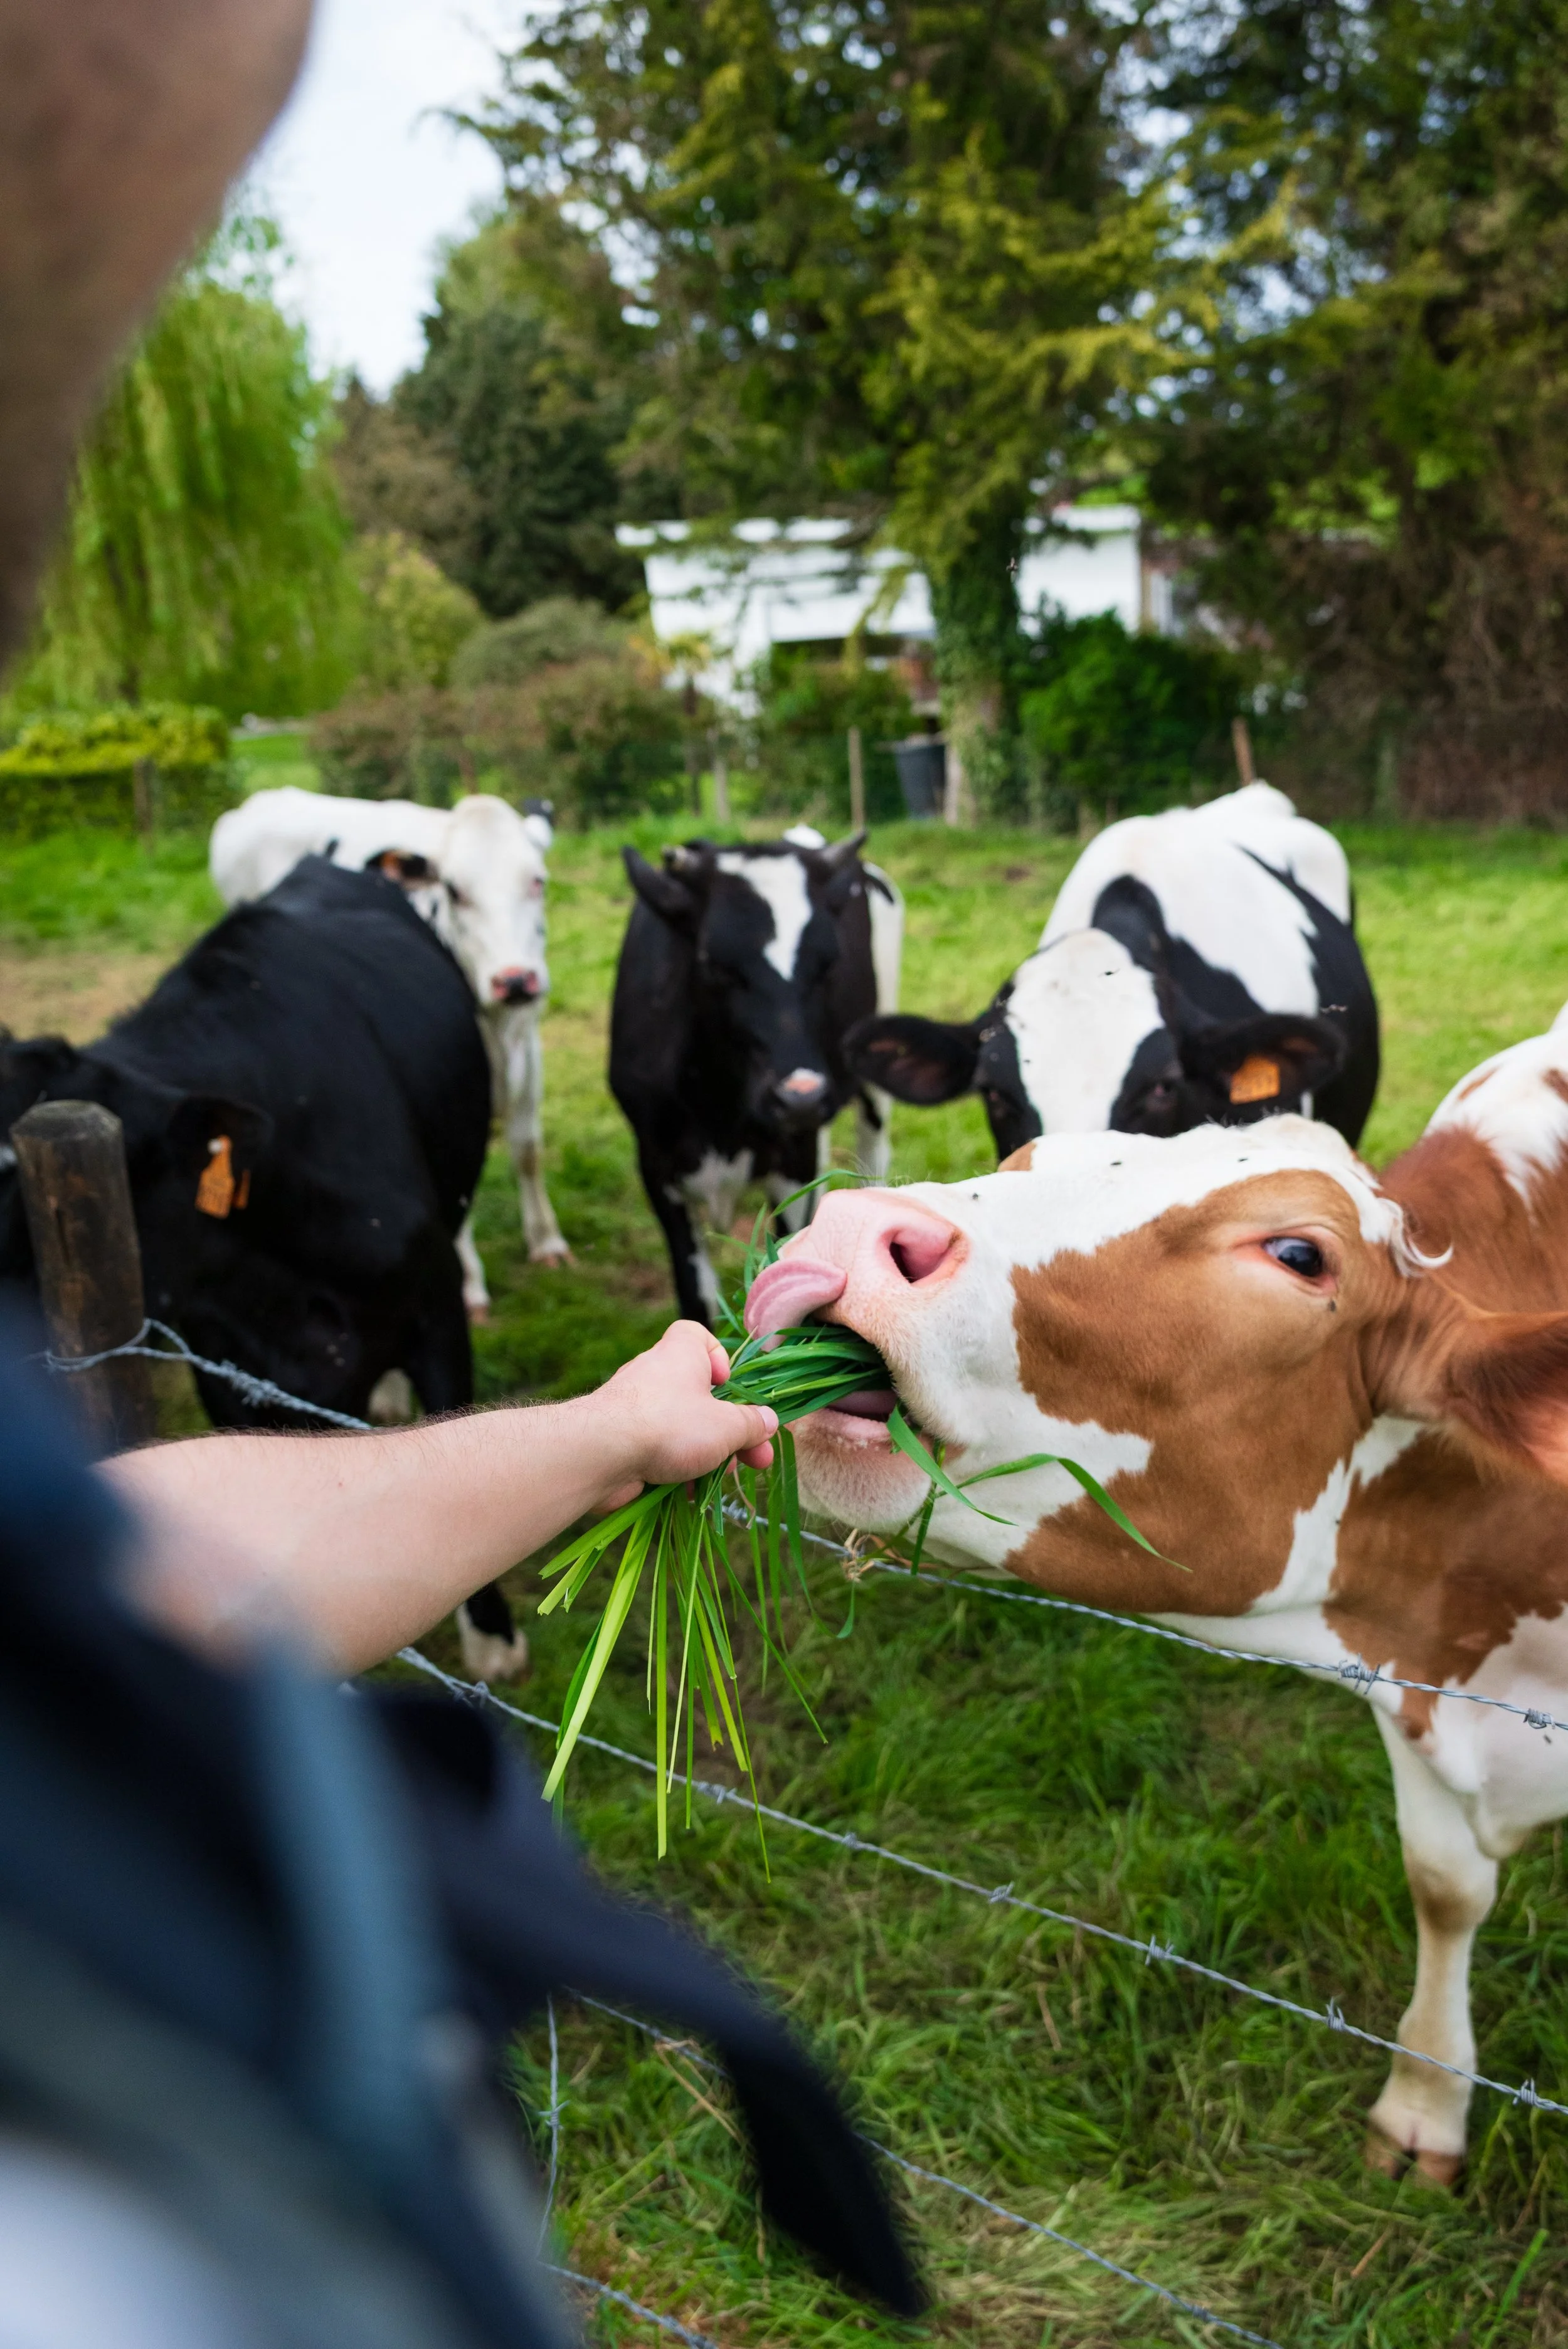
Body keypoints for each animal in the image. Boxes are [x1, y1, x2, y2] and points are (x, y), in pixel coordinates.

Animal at [211, 787, 567, 1319]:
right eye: (454, 891)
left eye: (537, 881)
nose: (515, 980)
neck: (494, 1025)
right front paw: (470, 1284)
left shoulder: (527, 1043)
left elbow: (527, 1151)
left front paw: (546, 1241)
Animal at [610, 831, 904, 1325]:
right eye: (715, 964)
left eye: (829, 964)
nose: (801, 1099)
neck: (718, 1107)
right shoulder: (655, 1162)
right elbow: (696, 1297)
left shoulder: (797, 1160)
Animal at [744, 1024, 1568, 2184]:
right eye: (1027, 1152)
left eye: (1298, 1254)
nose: (851, 1228)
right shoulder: (1415, 1686)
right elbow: (1445, 1886)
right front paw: (1426, 2103)